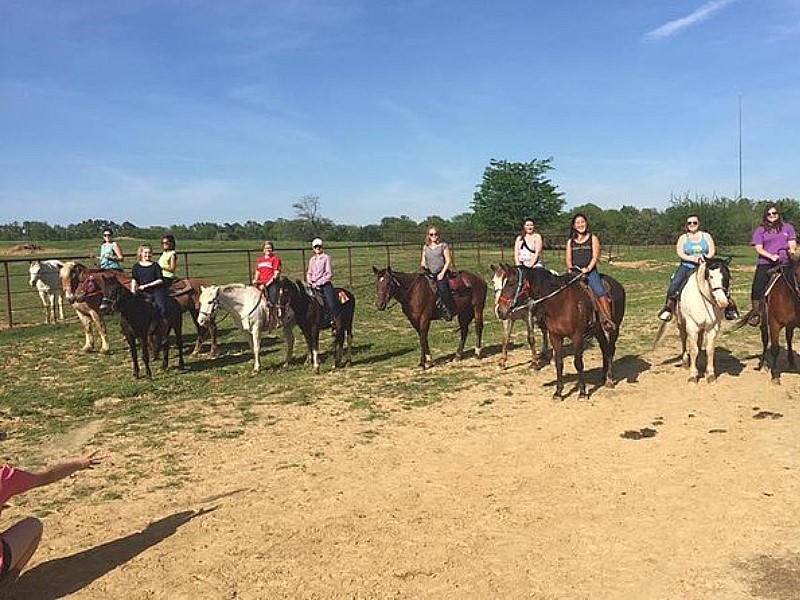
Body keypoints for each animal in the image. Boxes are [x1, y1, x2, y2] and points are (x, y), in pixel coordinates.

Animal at [494, 266, 624, 398]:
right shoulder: (555, 336)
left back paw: (609, 379)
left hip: (614, 328)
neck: (561, 303)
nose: (499, 311)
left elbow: (578, 363)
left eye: (511, 283)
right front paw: (558, 392)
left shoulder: (577, 336)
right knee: (604, 348)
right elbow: (559, 363)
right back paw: (603, 376)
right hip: (598, 329)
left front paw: (582, 392)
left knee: (610, 349)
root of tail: (617, 284)